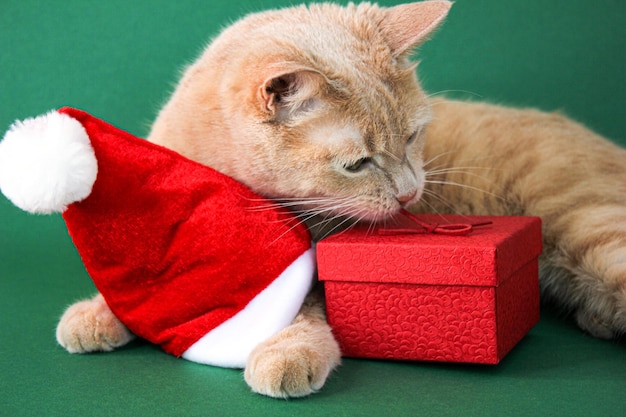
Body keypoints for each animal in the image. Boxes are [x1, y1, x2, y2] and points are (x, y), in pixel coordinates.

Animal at [54, 0, 624, 396]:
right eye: (358, 164)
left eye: (413, 137)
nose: (411, 193)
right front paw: (100, 312)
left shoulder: (315, 270)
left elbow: (304, 309)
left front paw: (289, 351)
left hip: (590, 226)